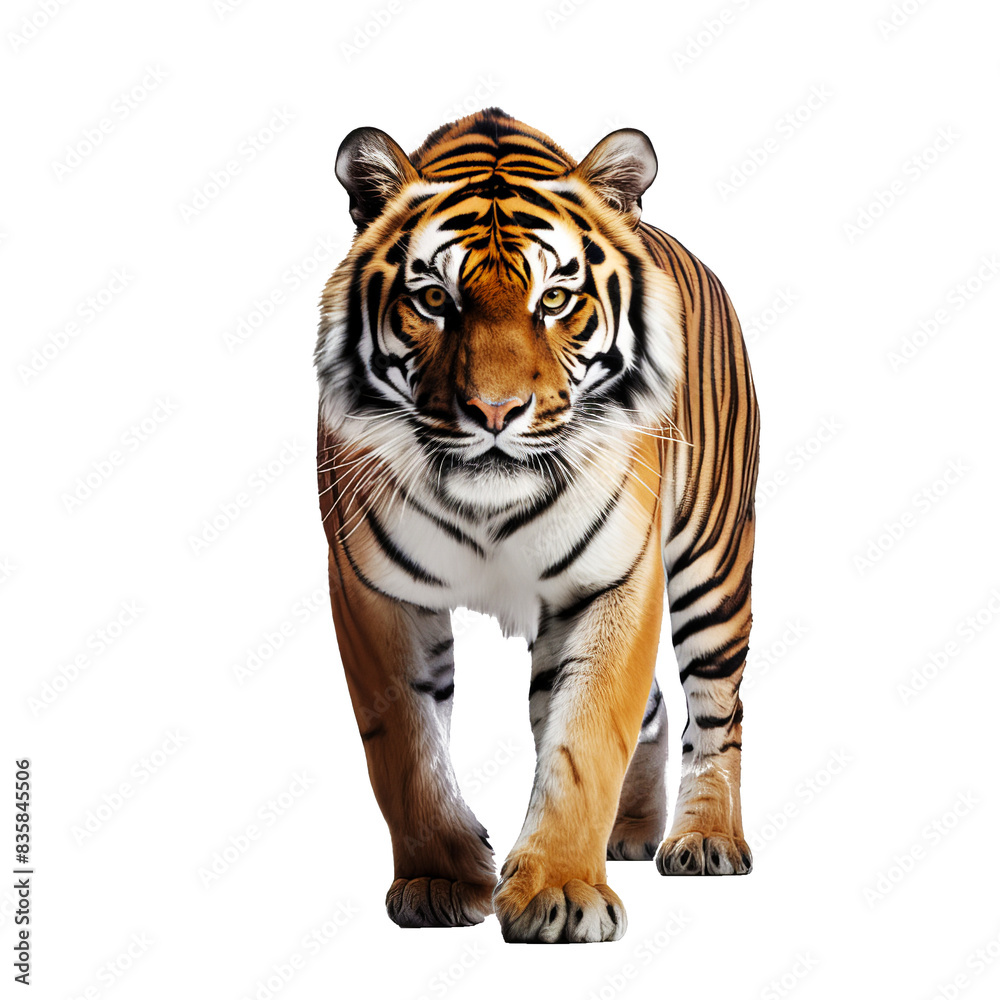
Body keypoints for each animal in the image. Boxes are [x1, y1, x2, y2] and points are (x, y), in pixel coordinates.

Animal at [315, 108, 760, 944]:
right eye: (434, 299)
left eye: (555, 300)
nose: (494, 412)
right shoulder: (373, 589)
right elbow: (406, 749)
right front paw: (439, 881)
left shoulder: (617, 577)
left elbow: (586, 737)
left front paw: (560, 892)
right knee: (655, 708)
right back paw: (631, 832)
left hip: (714, 565)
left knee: (717, 710)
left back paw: (707, 840)